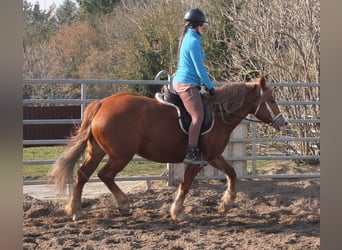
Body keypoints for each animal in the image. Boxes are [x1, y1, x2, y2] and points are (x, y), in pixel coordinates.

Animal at [49, 75, 288, 221]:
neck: (219, 114)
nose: (283, 122)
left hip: (97, 152)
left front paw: (227, 202)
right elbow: (186, 184)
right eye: (272, 100)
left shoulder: (213, 156)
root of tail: (101, 104)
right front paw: (177, 211)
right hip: (120, 156)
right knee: (105, 175)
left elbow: (232, 173)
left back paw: (76, 210)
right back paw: (122, 204)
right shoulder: (199, 160)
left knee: (82, 175)